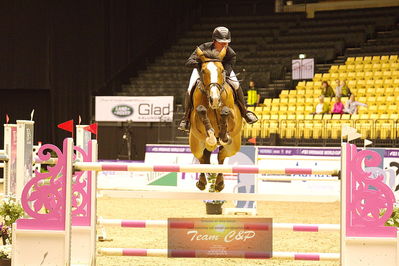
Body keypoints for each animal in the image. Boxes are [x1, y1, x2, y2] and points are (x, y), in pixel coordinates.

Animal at [189, 46, 242, 192]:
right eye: (203, 71)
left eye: (222, 70)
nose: (215, 99)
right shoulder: (196, 118)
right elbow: (202, 111)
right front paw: (212, 137)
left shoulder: (234, 117)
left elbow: (226, 112)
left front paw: (223, 136)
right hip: (196, 144)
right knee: (202, 158)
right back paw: (202, 182)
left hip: (233, 147)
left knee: (221, 156)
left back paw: (219, 183)